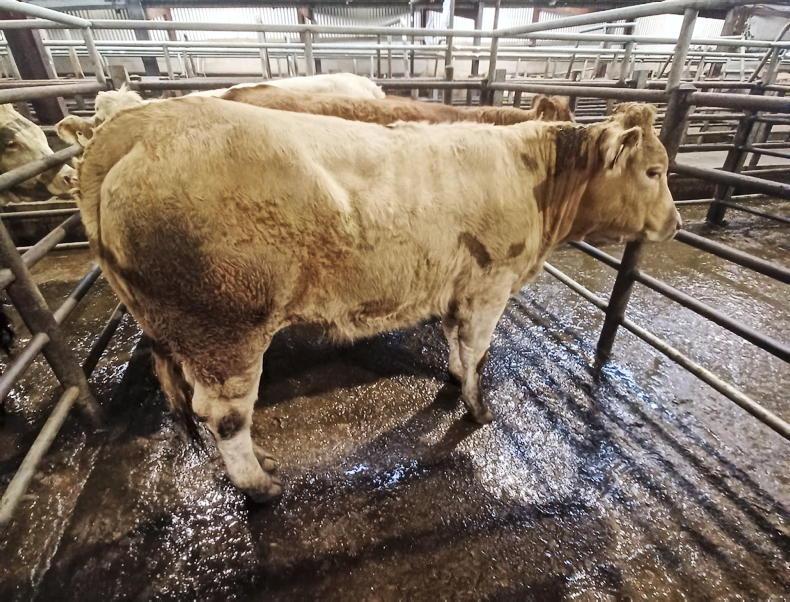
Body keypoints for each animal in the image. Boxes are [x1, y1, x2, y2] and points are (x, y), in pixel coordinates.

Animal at [75, 97, 680, 501]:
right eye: (654, 171)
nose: (675, 224)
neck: (532, 175)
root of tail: (147, 125)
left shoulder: (456, 287)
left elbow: (455, 344)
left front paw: (454, 382)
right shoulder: (489, 286)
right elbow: (477, 352)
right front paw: (477, 408)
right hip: (225, 329)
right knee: (225, 416)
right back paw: (261, 485)